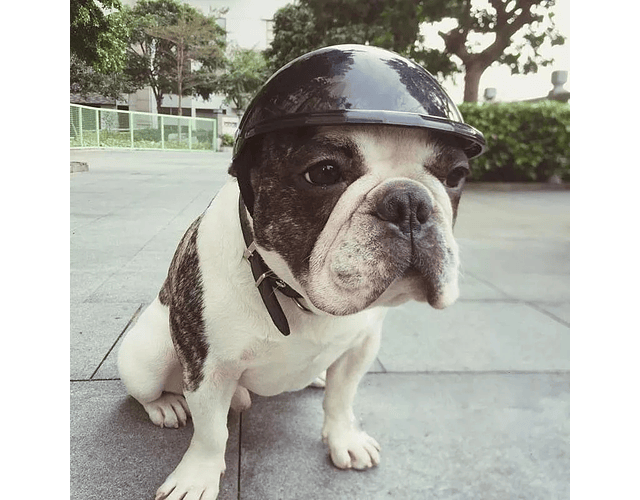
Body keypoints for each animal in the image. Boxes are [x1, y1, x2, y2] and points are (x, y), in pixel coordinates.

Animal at [119, 123, 470, 498]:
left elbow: (341, 398)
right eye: (324, 172)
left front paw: (345, 440)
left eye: (456, 175)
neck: (299, 295)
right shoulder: (207, 368)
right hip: (147, 357)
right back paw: (166, 405)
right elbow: (211, 432)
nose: (409, 201)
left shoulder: (360, 345)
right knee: (148, 389)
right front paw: (197, 477)